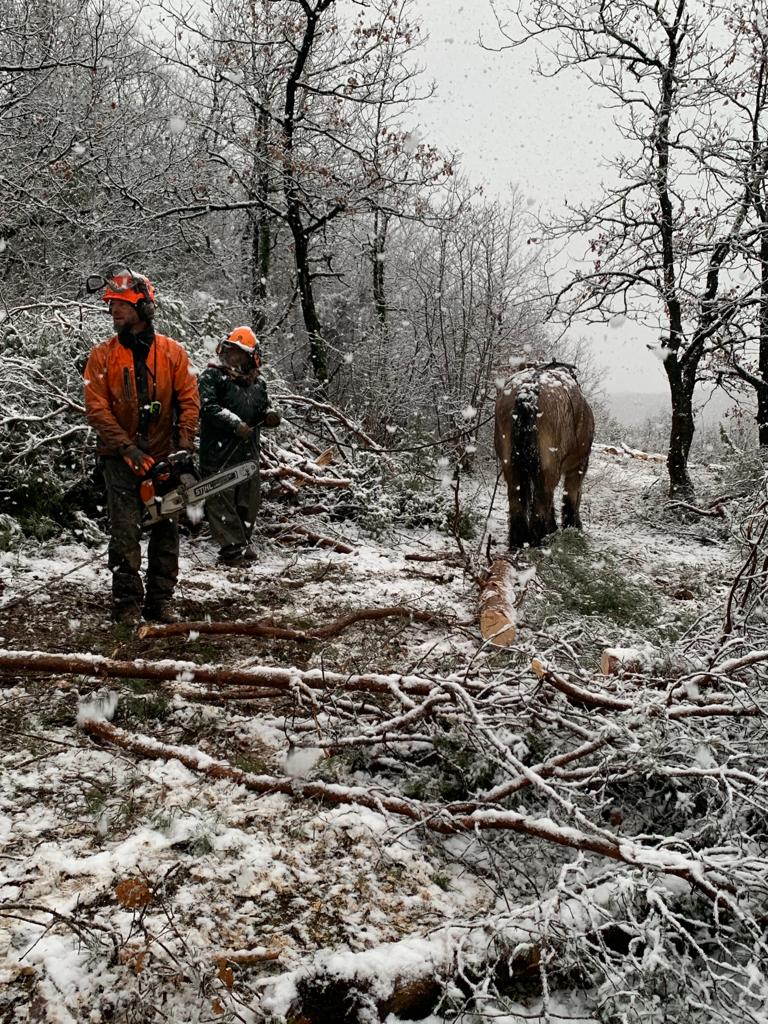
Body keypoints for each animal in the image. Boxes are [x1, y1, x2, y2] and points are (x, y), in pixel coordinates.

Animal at [495, 364, 598, 548]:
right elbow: (572, 495)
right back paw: (541, 538)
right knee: (542, 497)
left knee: (517, 496)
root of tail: (528, 390)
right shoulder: (579, 465)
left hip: (511, 465)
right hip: (549, 465)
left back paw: (519, 540)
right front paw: (573, 525)